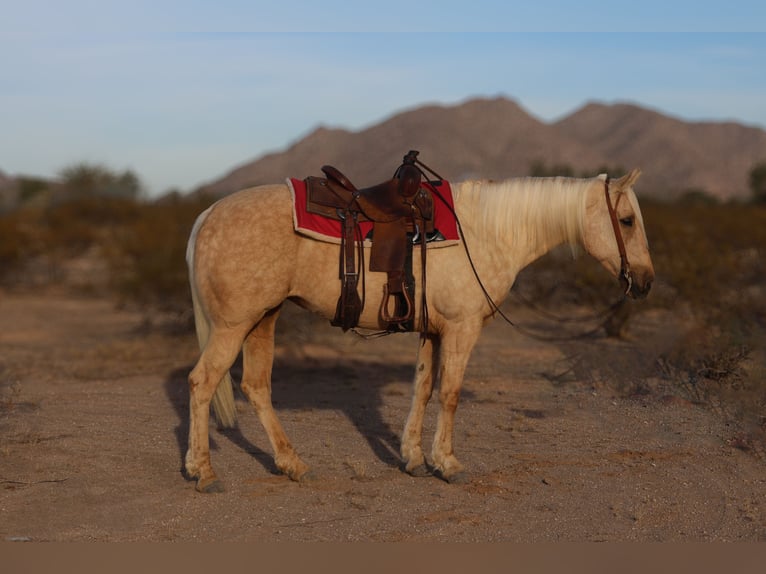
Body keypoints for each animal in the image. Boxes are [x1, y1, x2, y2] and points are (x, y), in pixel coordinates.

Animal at [184, 169, 656, 492]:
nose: (646, 281)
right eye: (627, 220)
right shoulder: (462, 329)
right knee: (203, 382)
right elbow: (450, 394)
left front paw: (412, 457)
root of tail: (207, 215)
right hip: (234, 325)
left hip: (264, 318)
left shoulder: (432, 330)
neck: (485, 232)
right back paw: (204, 471)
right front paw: (446, 463)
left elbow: (423, 389)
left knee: (255, 387)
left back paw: (290, 464)